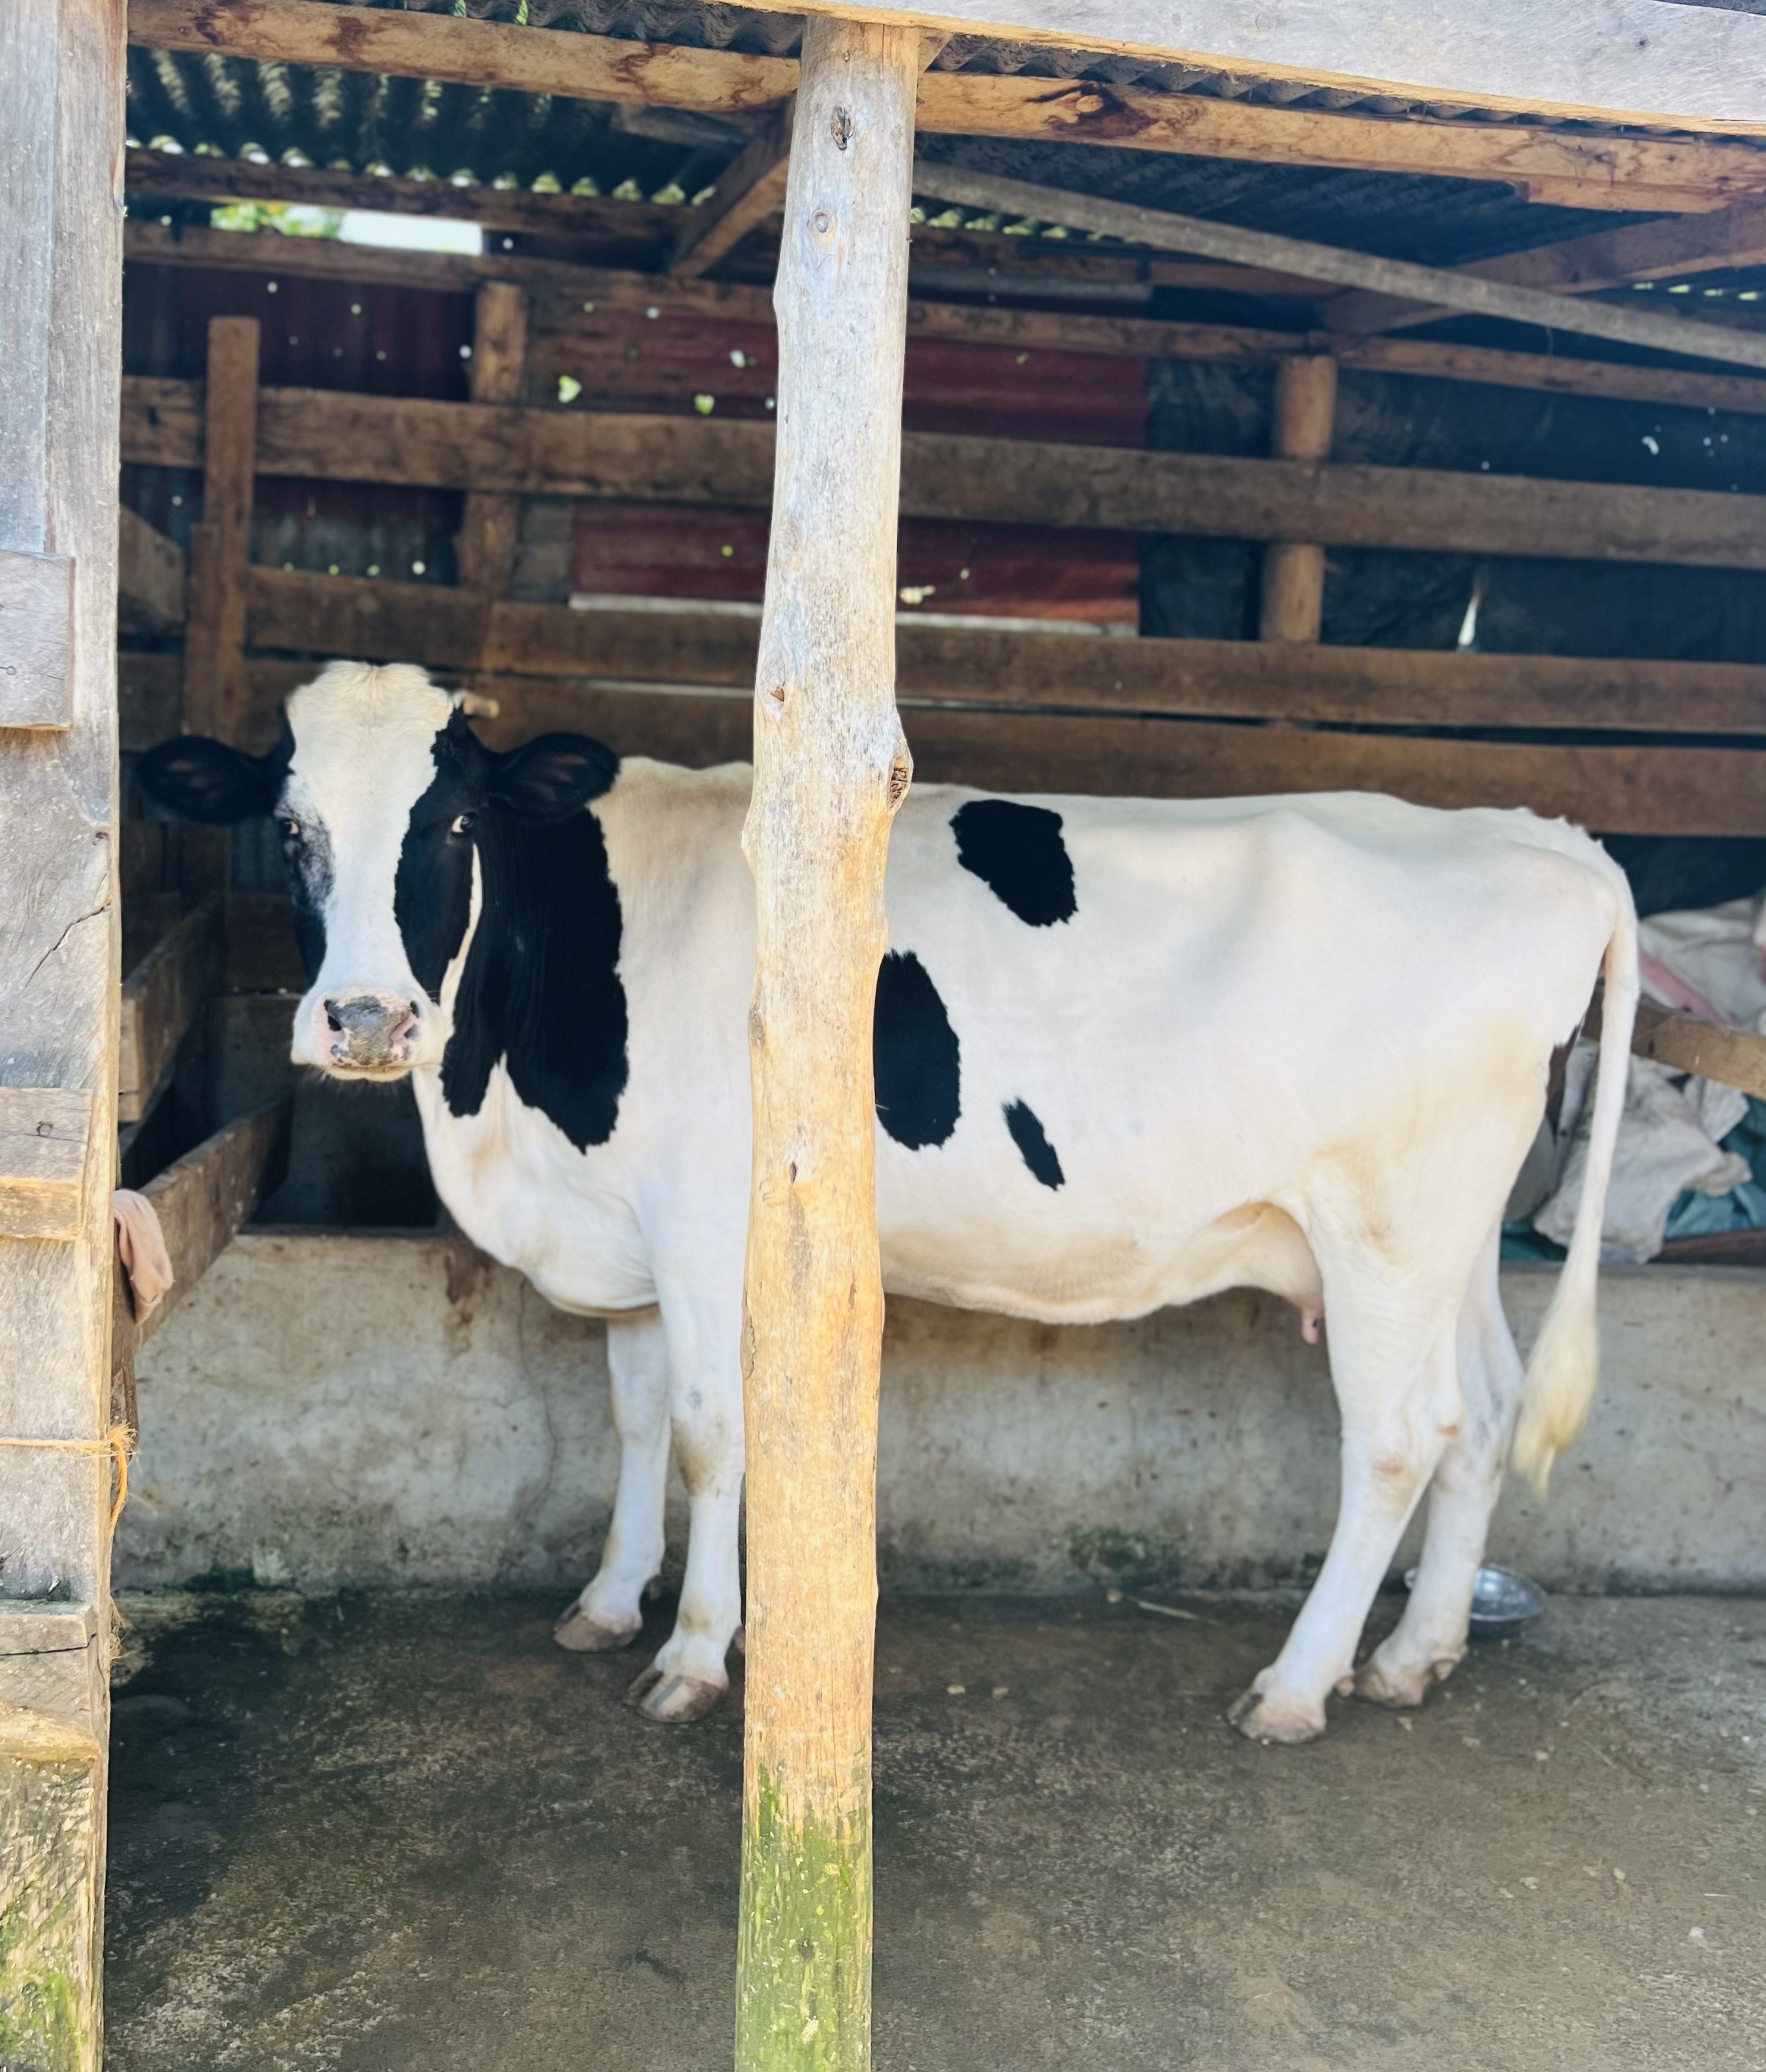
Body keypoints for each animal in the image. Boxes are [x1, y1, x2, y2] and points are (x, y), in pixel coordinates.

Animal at [141, 660, 1636, 1743]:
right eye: (290, 828)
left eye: (450, 821)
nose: (364, 1018)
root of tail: (1542, 835)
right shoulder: (629, 1235)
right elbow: (633, 1422)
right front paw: (609, 1602)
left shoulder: (708, 1227)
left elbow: (709, 1435)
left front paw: (696, 1651)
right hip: (1443, 1241)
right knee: (1484, 1412)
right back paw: (1414, 1656)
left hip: (1388, 1227)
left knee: (1396, 1437)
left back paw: (1297, 1685)